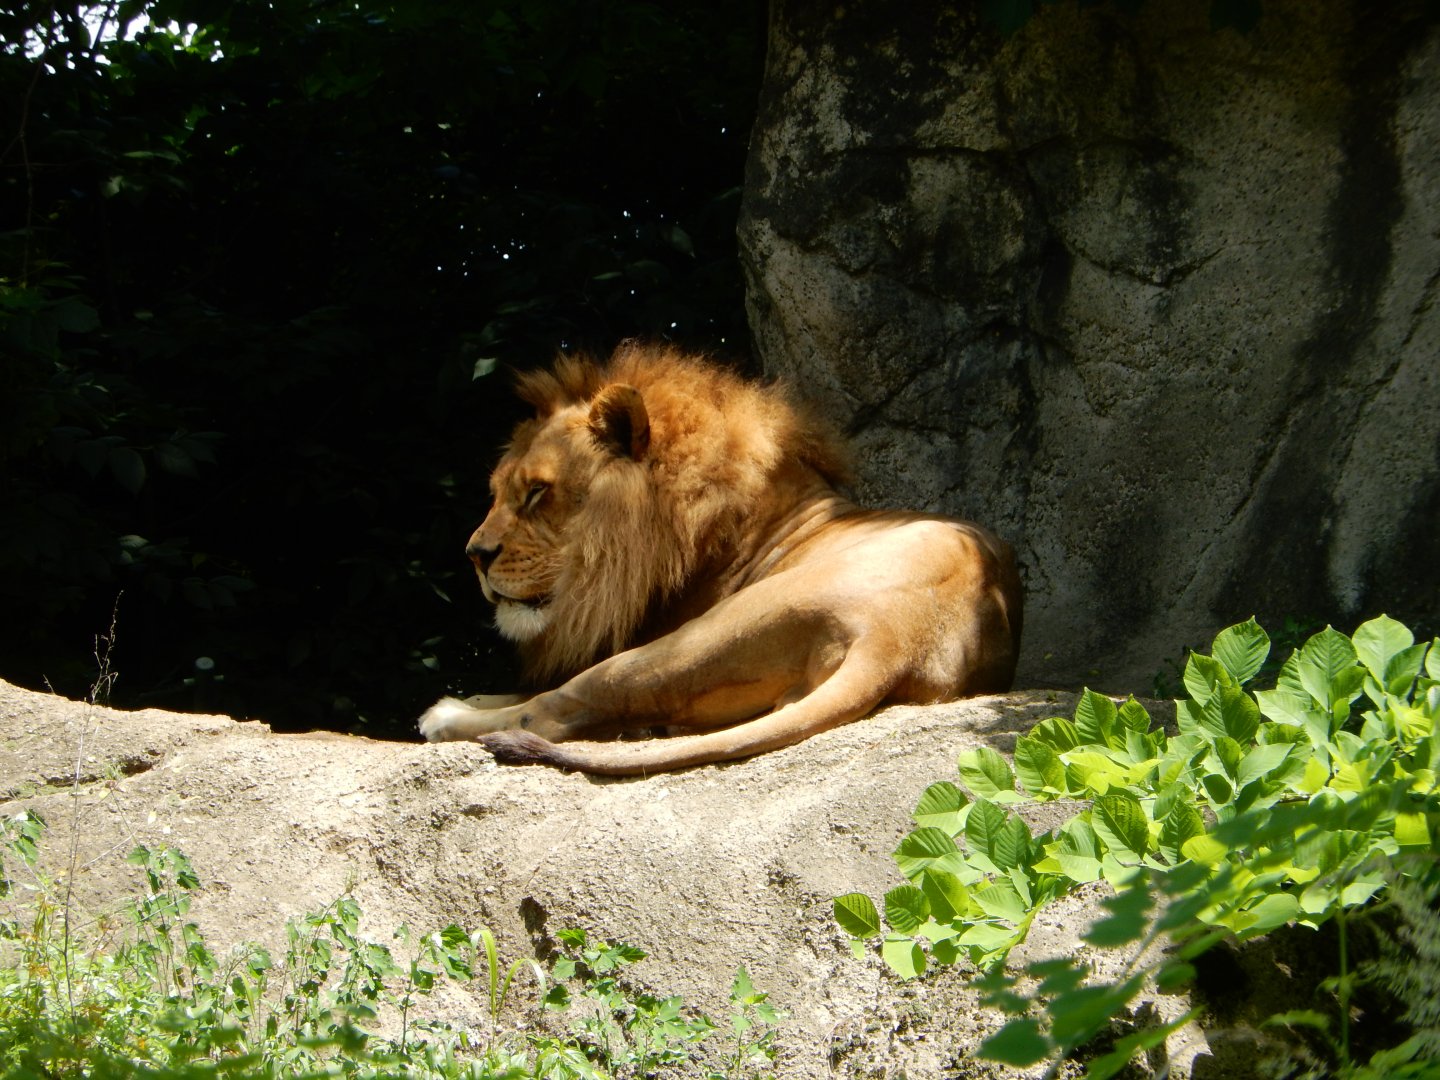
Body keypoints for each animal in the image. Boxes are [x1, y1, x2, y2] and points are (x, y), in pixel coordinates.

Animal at [419, 342, 1022, 775]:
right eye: (497, 491)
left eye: (538, 492)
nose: (474, 555)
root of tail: (894, 639)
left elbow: (539, 694)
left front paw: (458, 704)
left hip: (693, 640)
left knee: (555, 708)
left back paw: (444, 717)